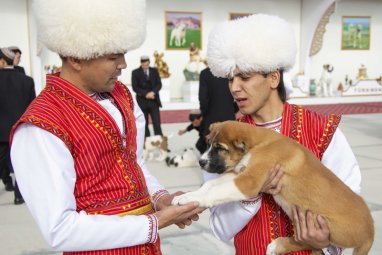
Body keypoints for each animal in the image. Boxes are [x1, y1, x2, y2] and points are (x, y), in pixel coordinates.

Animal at [172, 121, 374, 255]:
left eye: (220, 148)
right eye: (208, 145)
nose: (201, 162)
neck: (258, 143)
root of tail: (370, 230)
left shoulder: (248, 181)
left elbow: (215, 191)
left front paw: (193, 199)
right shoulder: (239, 173)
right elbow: (210, 185)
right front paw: (187, 196)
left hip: (323, 223)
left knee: (315, 242)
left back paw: (277, 246)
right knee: (311, 243)